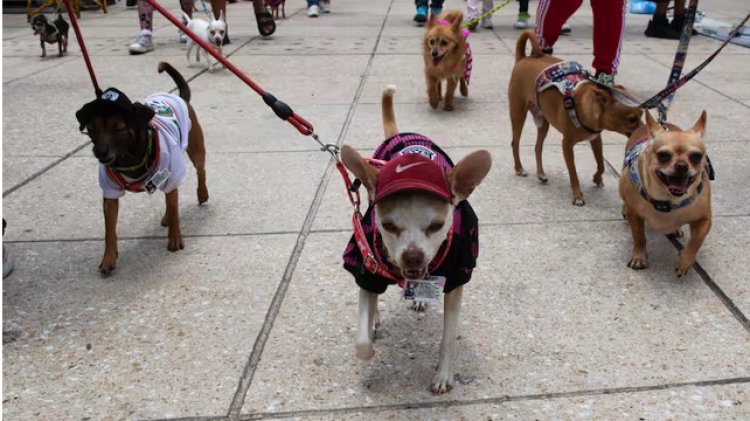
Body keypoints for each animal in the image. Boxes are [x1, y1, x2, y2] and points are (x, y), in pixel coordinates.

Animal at [75, 60, 209, 274]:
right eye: (92, 129)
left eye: (119, 128)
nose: (100, 152)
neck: (129, 158)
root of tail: (180, 97)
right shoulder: (110, 194)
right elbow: (109, 231)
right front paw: (108, 258)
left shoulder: (170, 174)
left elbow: (175, 209)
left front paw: (175, 238)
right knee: (171, 197)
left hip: (195, 151)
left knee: (199, 172)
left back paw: (202, 193)